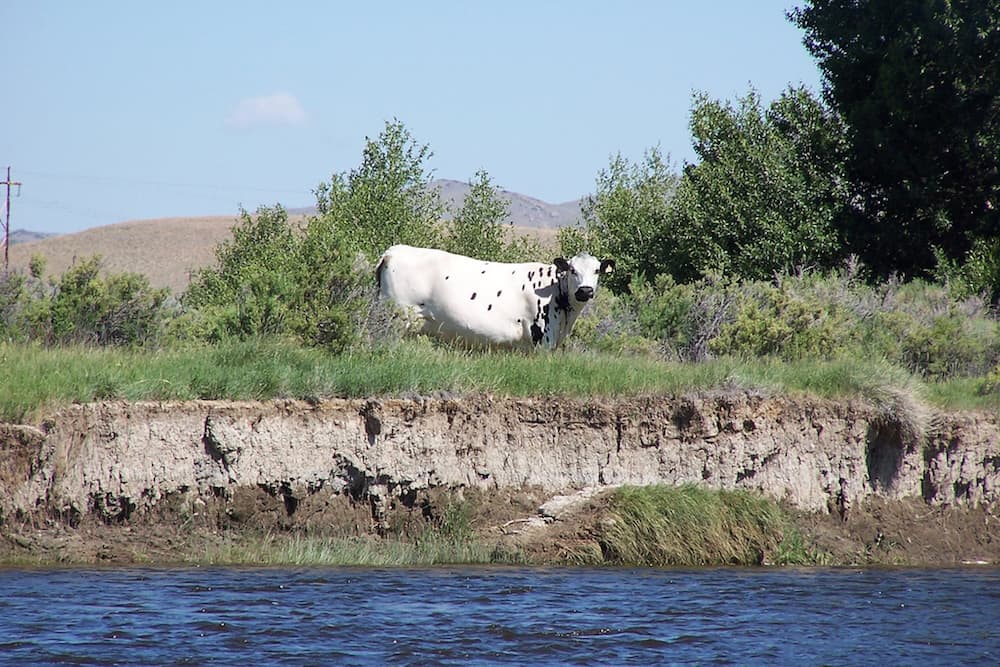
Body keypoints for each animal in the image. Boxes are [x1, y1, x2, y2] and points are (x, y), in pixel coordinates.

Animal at [375, 245, 614, 350]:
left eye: (597, 271)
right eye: (572, 270)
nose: (585, 290)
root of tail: (393, 251)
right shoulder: (542, 338)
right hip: (396, 316)